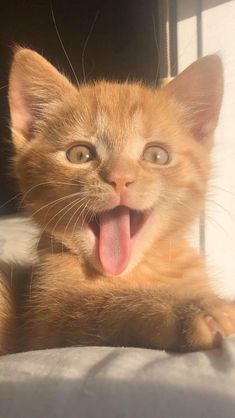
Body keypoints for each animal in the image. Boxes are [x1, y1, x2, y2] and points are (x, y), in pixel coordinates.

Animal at [1, 46, 235, 352]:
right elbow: (105, 308)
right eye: (79, 154)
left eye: (157, 155)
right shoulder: (45, 327)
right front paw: (189, 310)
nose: (120, 178)